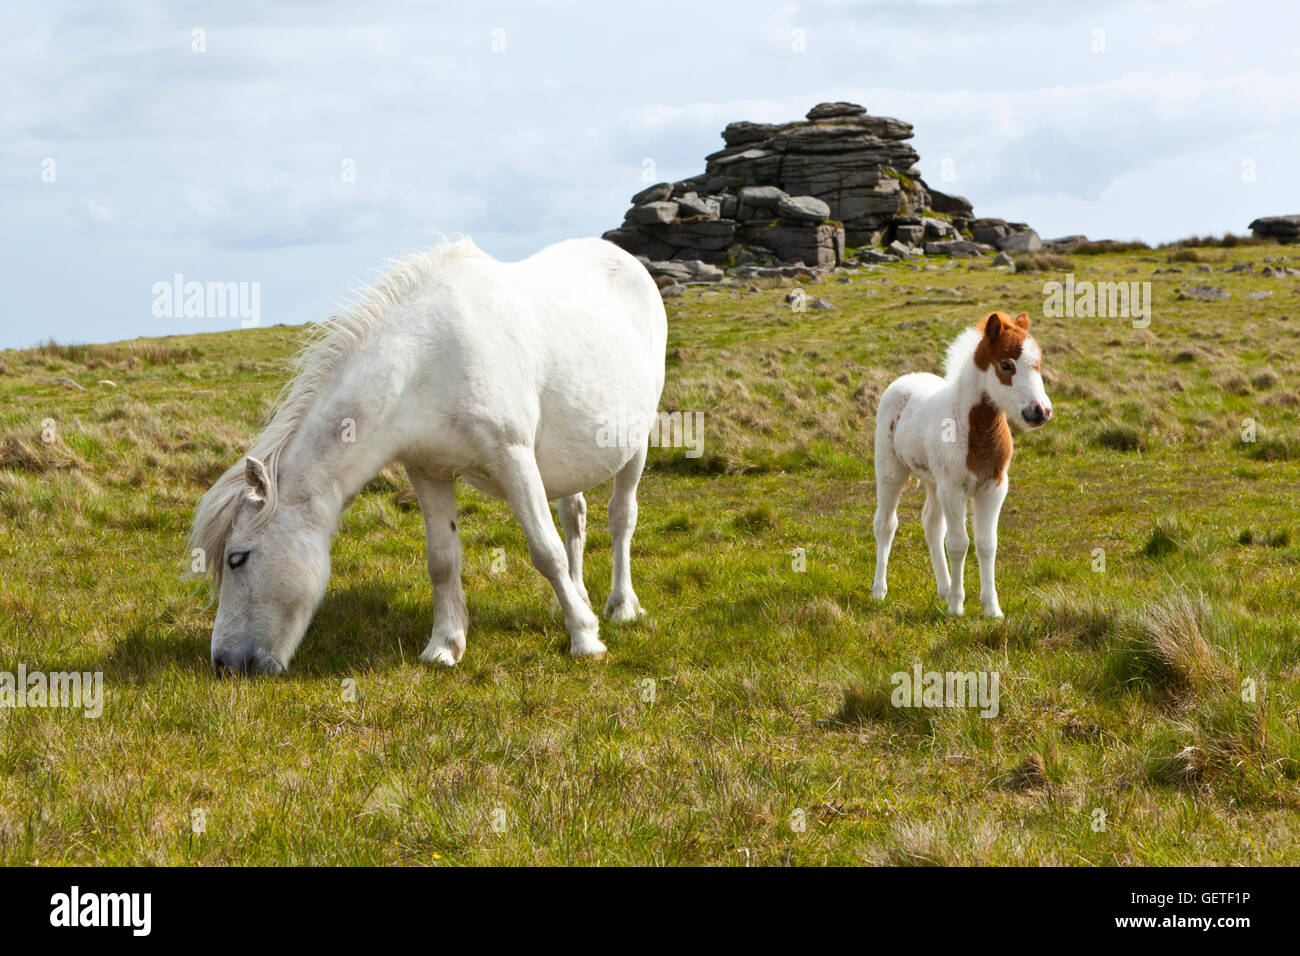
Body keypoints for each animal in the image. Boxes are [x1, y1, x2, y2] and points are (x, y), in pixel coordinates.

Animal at [189, 237, 667, 674]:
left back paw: (620, 607)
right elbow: (442, 559)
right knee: (574, 514)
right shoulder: (428, 471)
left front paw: (585, 639)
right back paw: (573, 599)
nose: (225, 663)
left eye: (237, 558)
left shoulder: (514, 460)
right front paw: (445, 646)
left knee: (621, 517)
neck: (425, 361)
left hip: (636, 444)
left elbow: (545, 550)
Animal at [870, 311, 1052, 617]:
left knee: (931, 525)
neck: (974, 428)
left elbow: (986, 544)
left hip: (934, 482)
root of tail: (904, 380)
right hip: (891, 471)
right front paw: (957, 607)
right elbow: (958, 544)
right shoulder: (954, 489)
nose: (1040, 411)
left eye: (1038, 363)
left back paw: (943, 590)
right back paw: (879, 591)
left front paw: (992, 609)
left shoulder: (994, 488)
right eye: (1006, 364)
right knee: (886, 524)